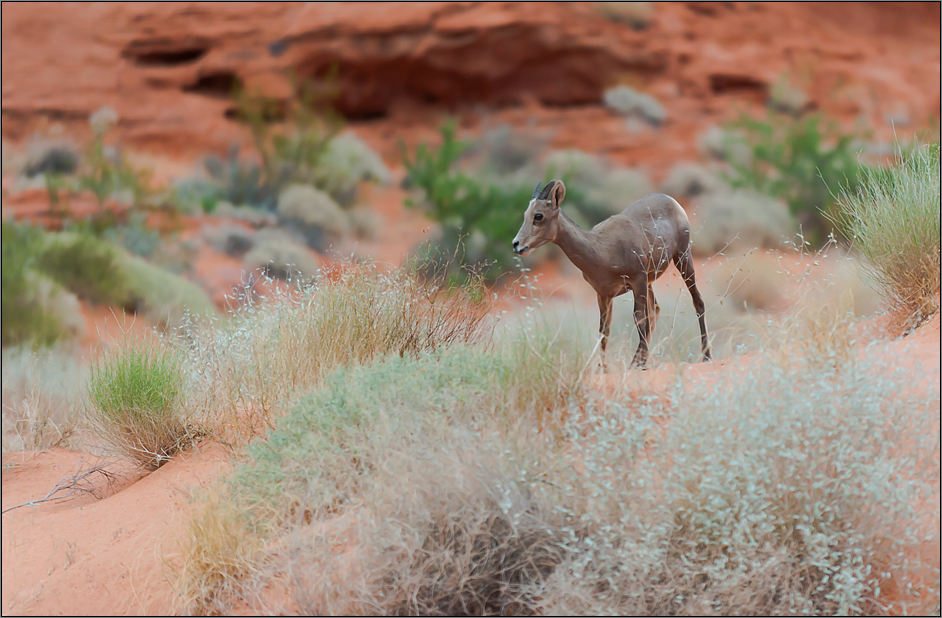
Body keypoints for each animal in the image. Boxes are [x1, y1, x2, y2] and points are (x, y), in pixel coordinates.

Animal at [512, 180, 712, 368]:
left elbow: (640, 320)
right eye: (525, 215)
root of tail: (672, 201)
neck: (603, 248)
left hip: (682, 259)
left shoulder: (637, 282)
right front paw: (605, 369)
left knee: (697, 301)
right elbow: (604, 331)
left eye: (538, 215)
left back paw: (706, 356)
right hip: (650, 282)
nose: (517, 244)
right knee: (655, 310)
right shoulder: (604, 295)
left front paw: (639, 366)